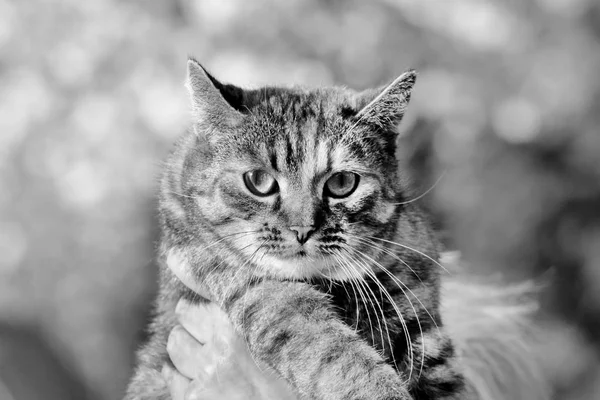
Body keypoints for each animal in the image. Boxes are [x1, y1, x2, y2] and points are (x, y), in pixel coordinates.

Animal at [125, 57, 464, 398]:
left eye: (342, 182)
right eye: (258, 181)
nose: (302, 229)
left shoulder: (416, 306)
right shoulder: (261, 292)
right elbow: (334, 353)